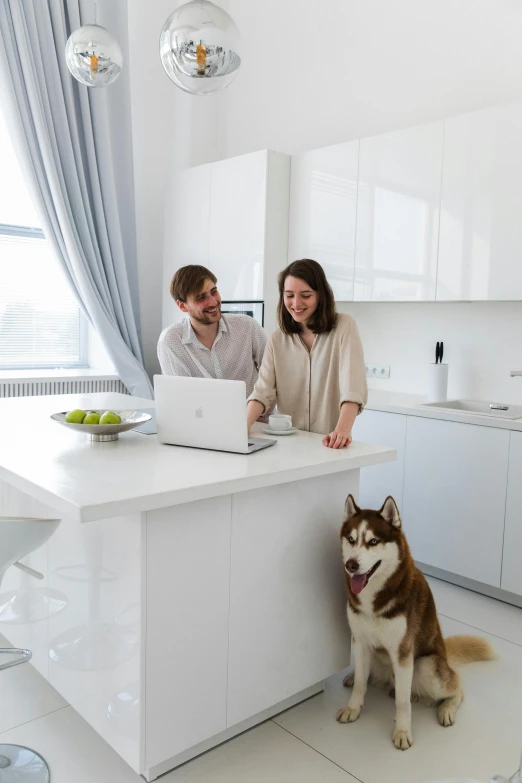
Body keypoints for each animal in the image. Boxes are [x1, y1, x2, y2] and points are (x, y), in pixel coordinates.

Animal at [336, 496, 494, 752]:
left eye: (373, 541)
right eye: (351, 539)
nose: (351, 564)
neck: (374, 599)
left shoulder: (403, 653)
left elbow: (403, 702)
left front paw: (402, 732)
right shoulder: (359, 641)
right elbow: (361, 683)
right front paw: (353, 707)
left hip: (425, 666)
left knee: (457, 687)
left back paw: (446, 709)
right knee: (365, 674)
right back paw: (352, 676)